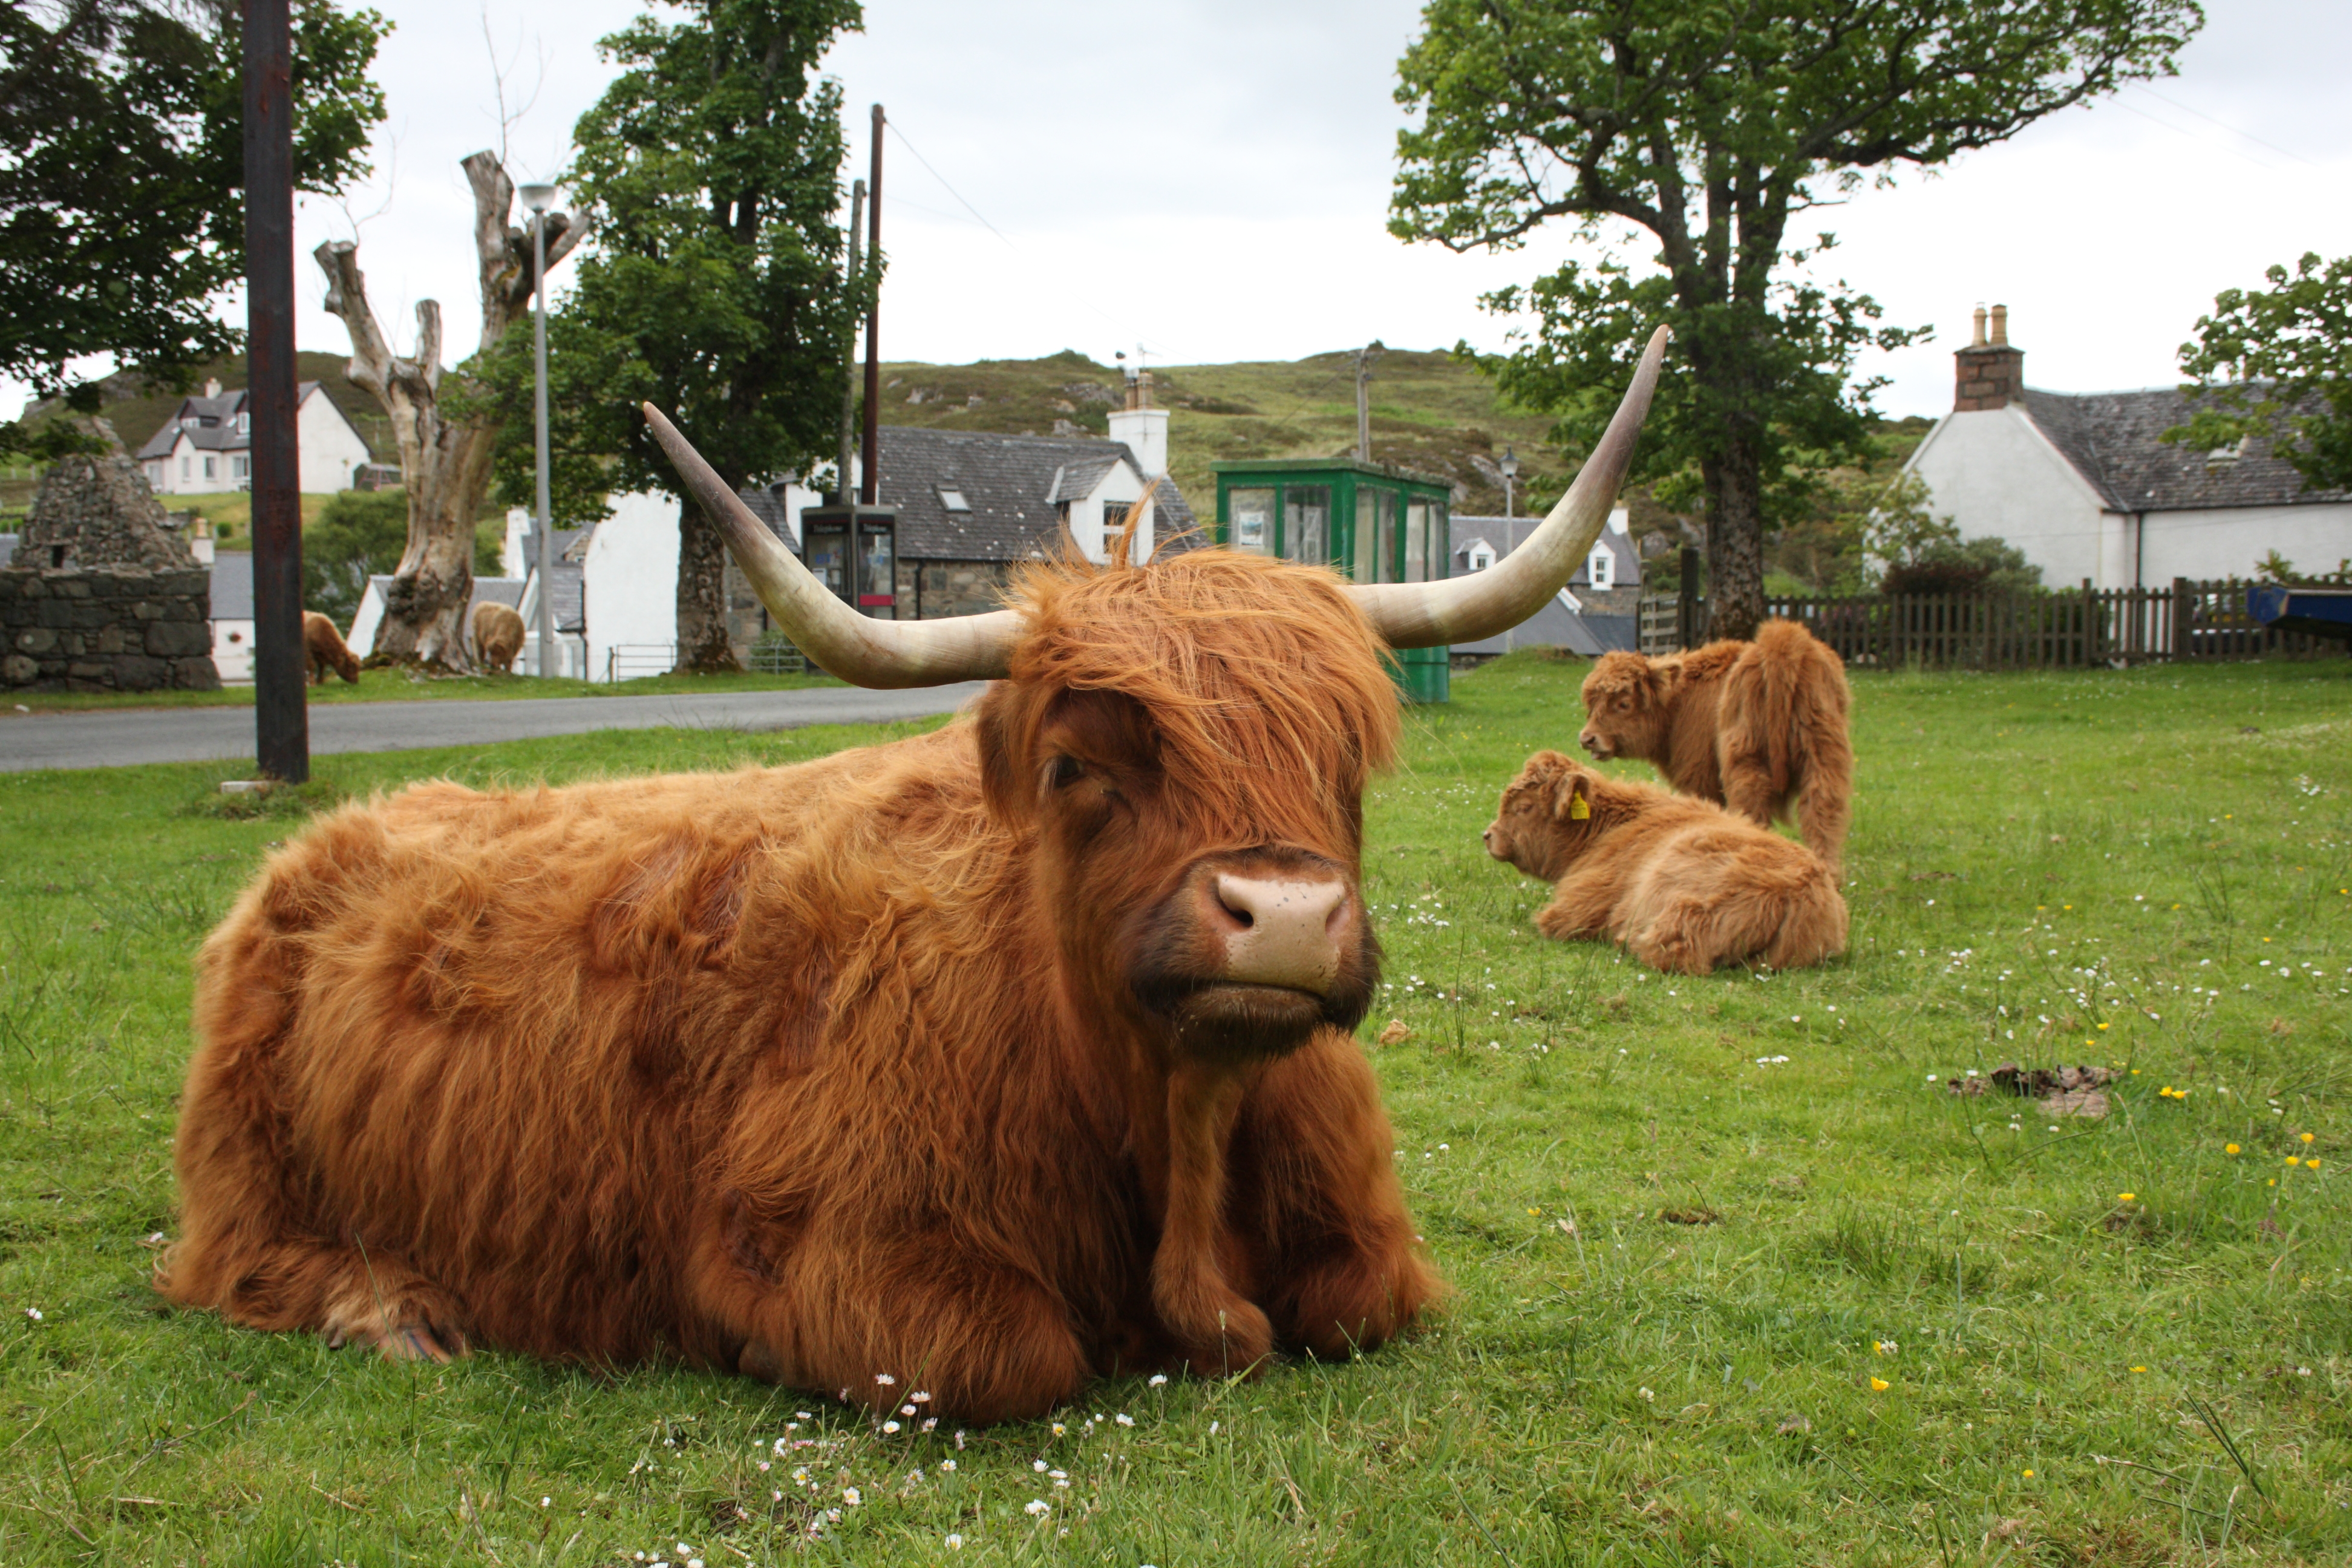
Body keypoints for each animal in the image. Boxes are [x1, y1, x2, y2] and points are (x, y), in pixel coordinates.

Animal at [1580, 620, 1853, 879]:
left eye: (1623, 703)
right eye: (1592, 703)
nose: (1587, 739)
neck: (1679, 703)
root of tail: (1782, 643)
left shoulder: (1700, 777)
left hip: (1745, 759)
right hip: (1822, 754)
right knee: (1822, 808)